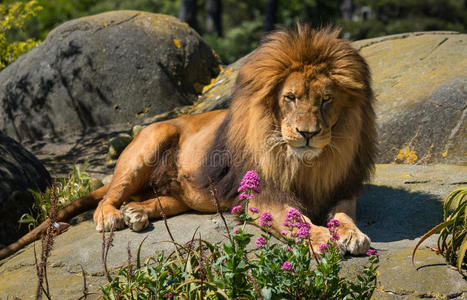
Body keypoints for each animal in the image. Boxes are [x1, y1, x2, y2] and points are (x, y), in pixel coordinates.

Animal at [0, 24, 376, 258]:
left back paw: (136, 213)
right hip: (151, 141)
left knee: (154, 199)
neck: (309, 162)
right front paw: (324, 238)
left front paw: (350, 234)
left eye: (326, 100)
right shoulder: (262, 197)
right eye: (291, 98)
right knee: (107, 197)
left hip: (185, 191)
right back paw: (112, 216)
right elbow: (296, 221)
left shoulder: (341, 187)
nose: (308, 133)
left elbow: (346, 214)